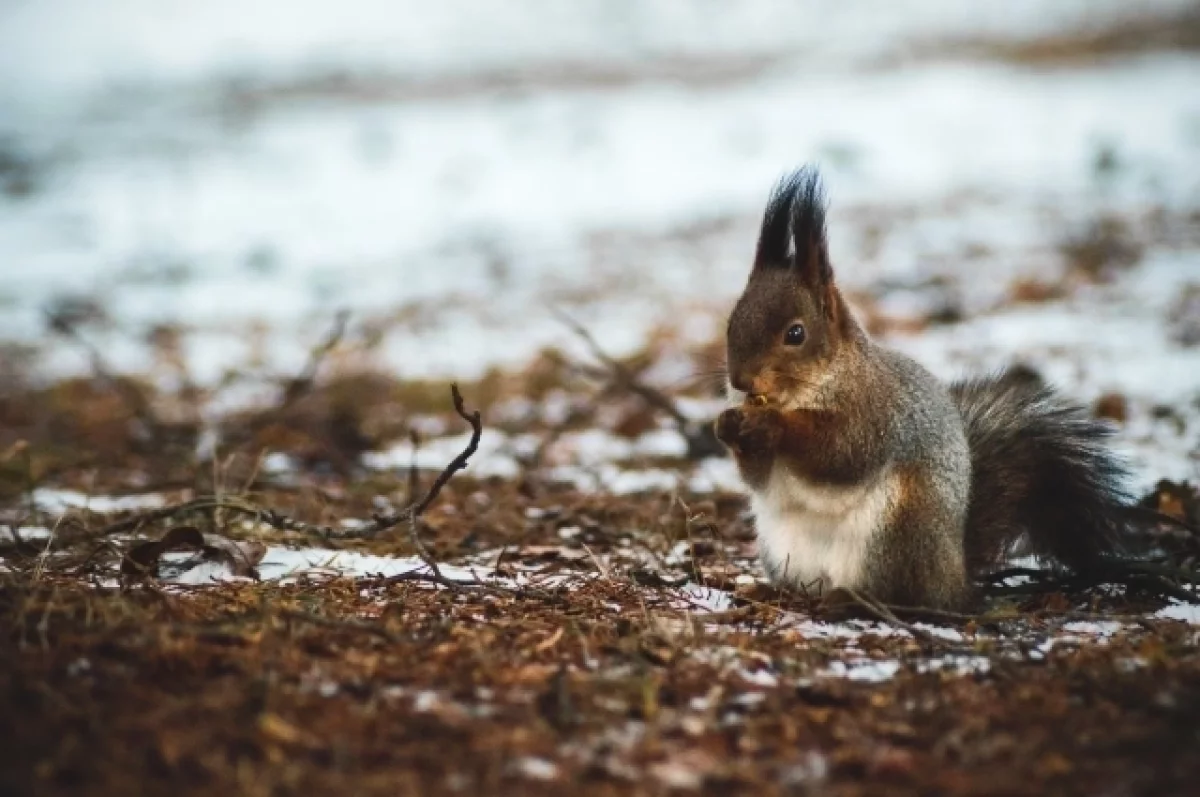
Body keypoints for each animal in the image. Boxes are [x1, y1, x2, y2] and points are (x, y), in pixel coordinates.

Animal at [710, 163, 1142, 609]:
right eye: (731, 322)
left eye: (795, 334)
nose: (740, 381)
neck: (811, 388)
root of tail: (954, 575)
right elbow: (758, 478)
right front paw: (726, 424)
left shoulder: (874, 413)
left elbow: (840, 451)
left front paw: (772, 425)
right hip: (783, 547)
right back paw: (770, 589)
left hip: (898, 529)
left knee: (896, 593)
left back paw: (849, 598)